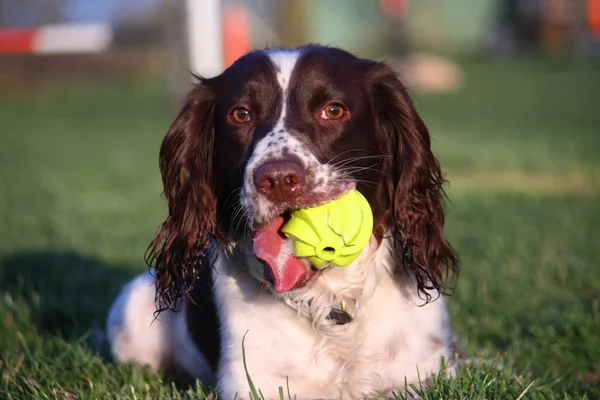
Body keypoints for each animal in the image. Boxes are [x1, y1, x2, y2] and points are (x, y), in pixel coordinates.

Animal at [106, 44, 460, 400]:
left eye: (333, 110)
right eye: (241, 114)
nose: (277, 179)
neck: (331, 304)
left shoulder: (425, 372)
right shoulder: (254, 383)